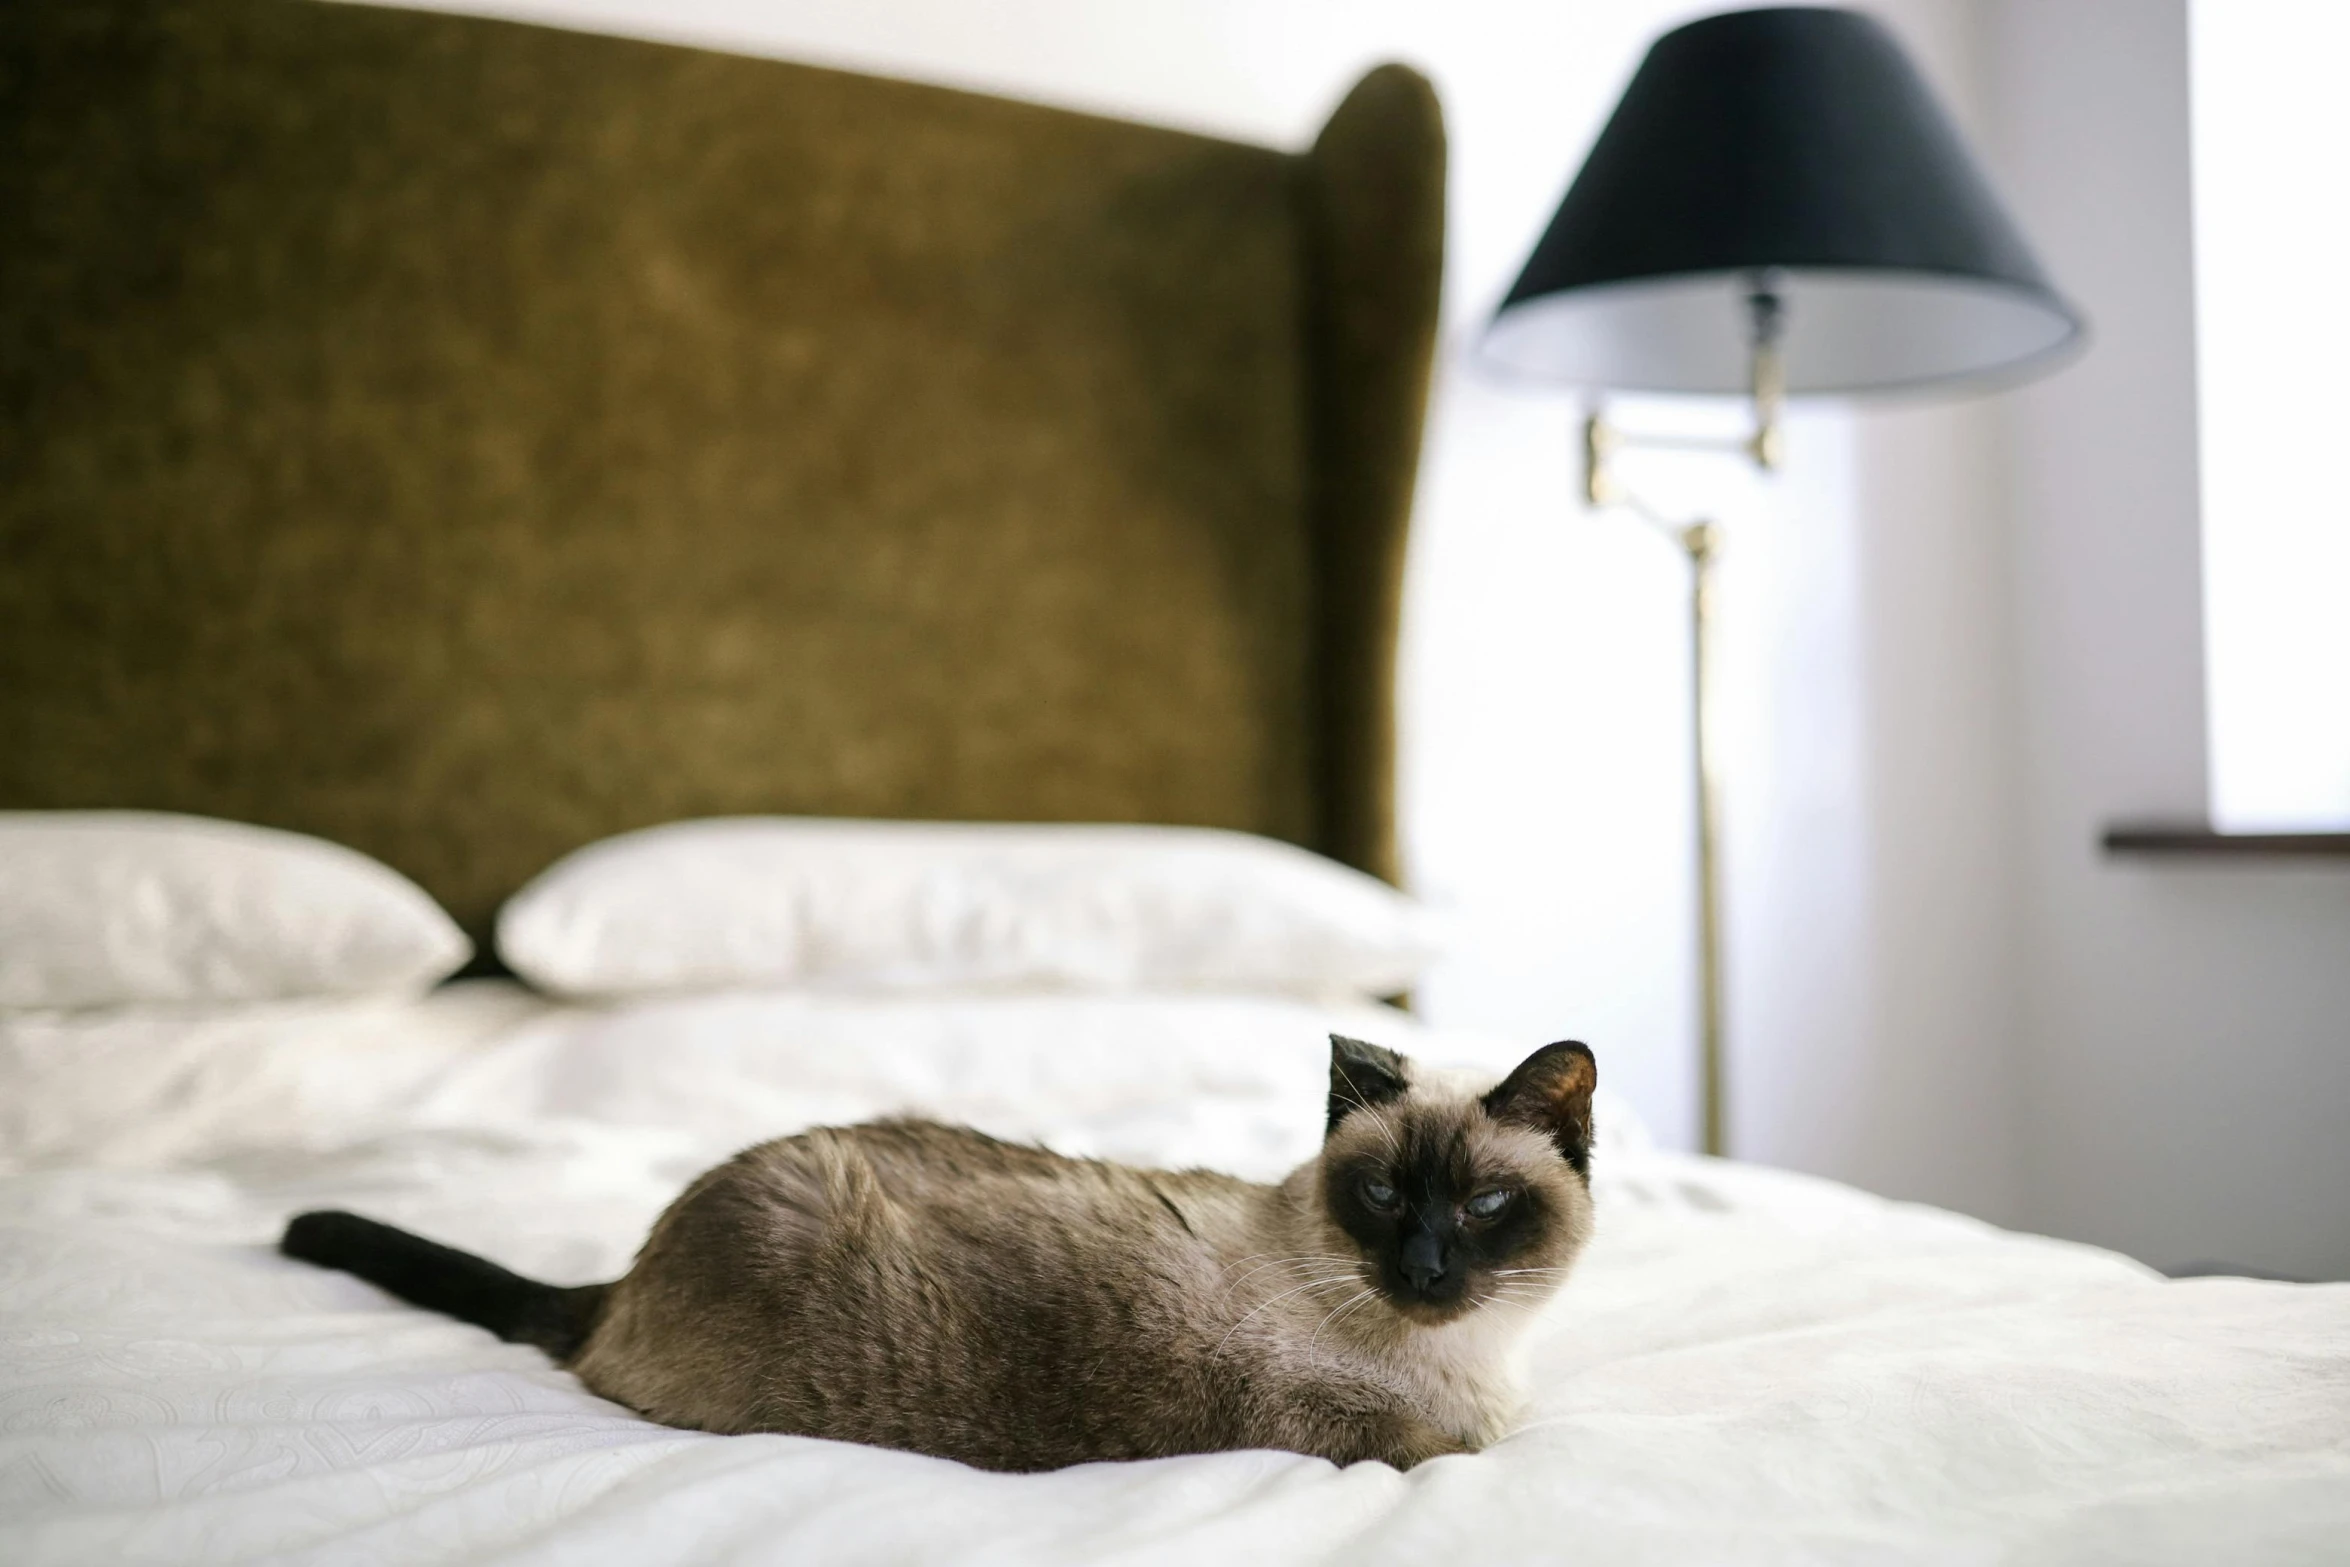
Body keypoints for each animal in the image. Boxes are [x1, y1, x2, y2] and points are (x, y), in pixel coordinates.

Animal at [279, 1043, 1597, 1475]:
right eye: (1381, 1195)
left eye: (1483, 1204)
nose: (1424, 1267)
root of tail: (625, 1281)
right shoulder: (1377, 1435)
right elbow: (1447, 1448)